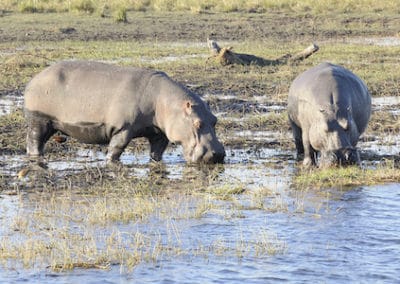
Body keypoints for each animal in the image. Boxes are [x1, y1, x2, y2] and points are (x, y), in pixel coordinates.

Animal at [24, 61, 225, 165]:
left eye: (214, 120)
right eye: (197, 123)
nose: (218, 154)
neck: (165, 102)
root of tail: (34, 79)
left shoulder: (159, 132)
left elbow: (157, 151)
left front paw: (155, 161)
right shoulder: (124, 128)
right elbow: (117, 147)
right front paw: (110, 161)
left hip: (50, 123)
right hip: (39, 119)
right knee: (34, 140)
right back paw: (36, 157)